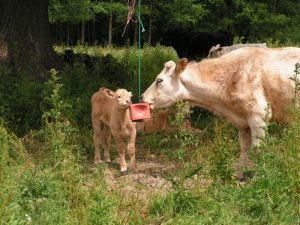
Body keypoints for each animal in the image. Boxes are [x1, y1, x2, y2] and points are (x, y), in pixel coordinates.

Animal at [141, 46, 300, 180]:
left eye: (159, 80)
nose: (142, 97)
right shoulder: (243, 122)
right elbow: (244, 149)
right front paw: (238, 175)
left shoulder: (258, 116)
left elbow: (258, 149)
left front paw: (260, 176)